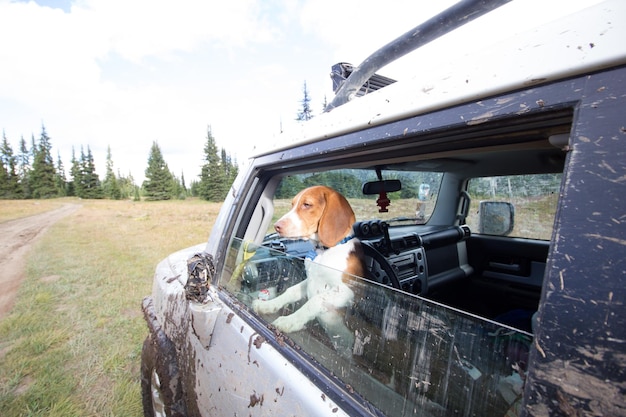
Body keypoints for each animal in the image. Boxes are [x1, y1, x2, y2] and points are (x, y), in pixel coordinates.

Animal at [251, 187, 364, 352]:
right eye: (292, 204)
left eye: (307, 204)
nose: (277, 226)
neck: (323, 252)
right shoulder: (310, 280)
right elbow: (290, 291)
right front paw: (268, 305)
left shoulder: (348, 293)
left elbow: (315, 300)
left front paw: (290, 321)